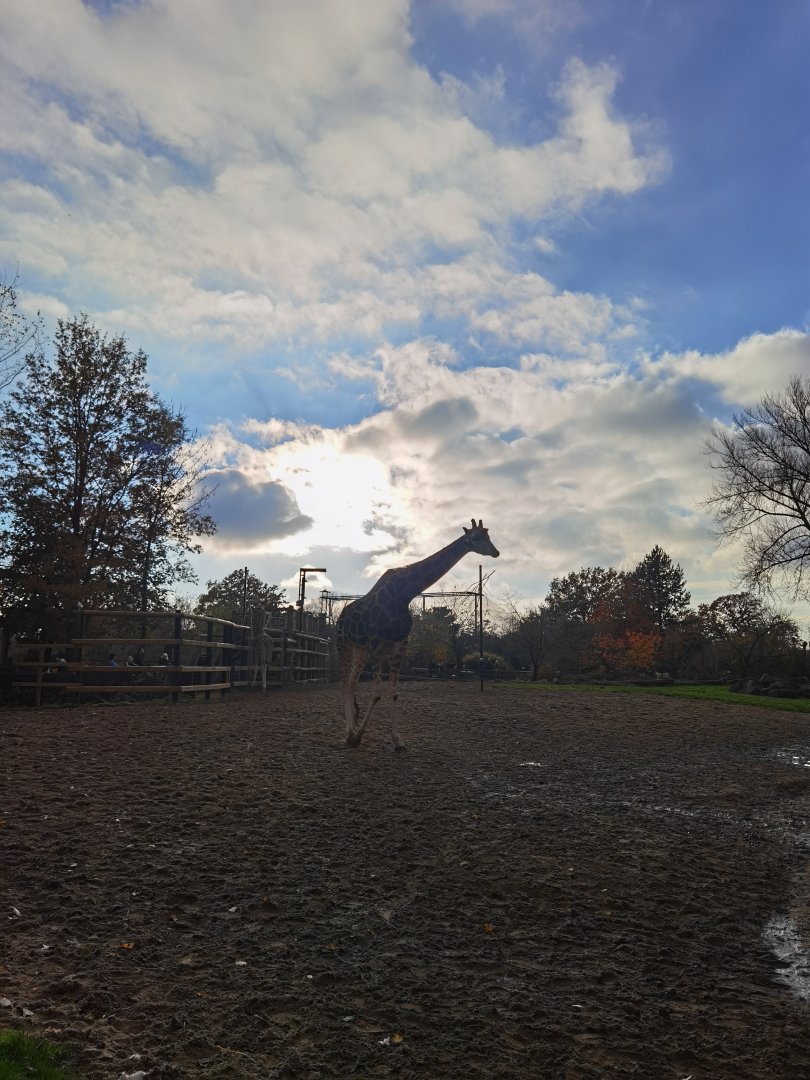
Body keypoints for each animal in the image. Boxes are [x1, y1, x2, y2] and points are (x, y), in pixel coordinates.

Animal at [336, 519, 500, 749]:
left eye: (488, 536)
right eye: (477, 538)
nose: (496, 552)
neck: (405, 594)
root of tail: (341, 615)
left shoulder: (399, 644)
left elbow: (394, 692)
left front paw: (397, 741)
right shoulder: (378, 645)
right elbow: (377, 693)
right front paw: (359, 736)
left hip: (360, 649)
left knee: (351, 682)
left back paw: (350, 733)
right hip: (343, 643)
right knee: (344, 682)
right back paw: (349, 734)